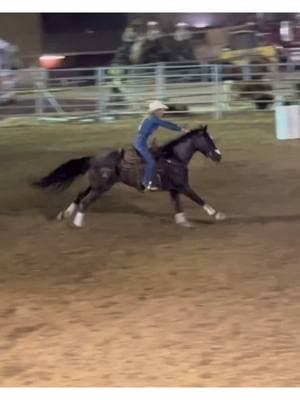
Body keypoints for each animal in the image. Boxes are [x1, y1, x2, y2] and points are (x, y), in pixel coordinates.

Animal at [33, 126, 225, 230]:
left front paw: (183, 222)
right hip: (100, 188)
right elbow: (198, 198)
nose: (218, 156)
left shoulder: (174, 189)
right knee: (85, 202)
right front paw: (218, 215)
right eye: (208, 140)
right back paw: (78, 224)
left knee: (80, 196)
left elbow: (178, 205)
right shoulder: (183, 185)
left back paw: (64, 215)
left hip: (97, 185)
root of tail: (92, 158)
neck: (174, 157)